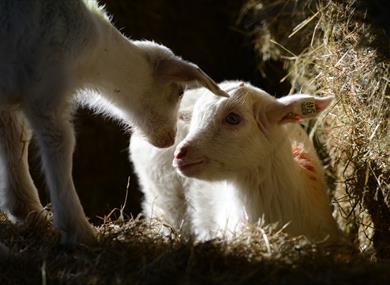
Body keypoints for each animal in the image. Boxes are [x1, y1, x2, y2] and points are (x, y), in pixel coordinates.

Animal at [0, 0, 225, 244]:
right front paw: (77, 229)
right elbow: (59, 144)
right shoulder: (46, 91)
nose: (169, 139)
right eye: (180, 91)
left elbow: (14, 140)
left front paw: (25, 210)